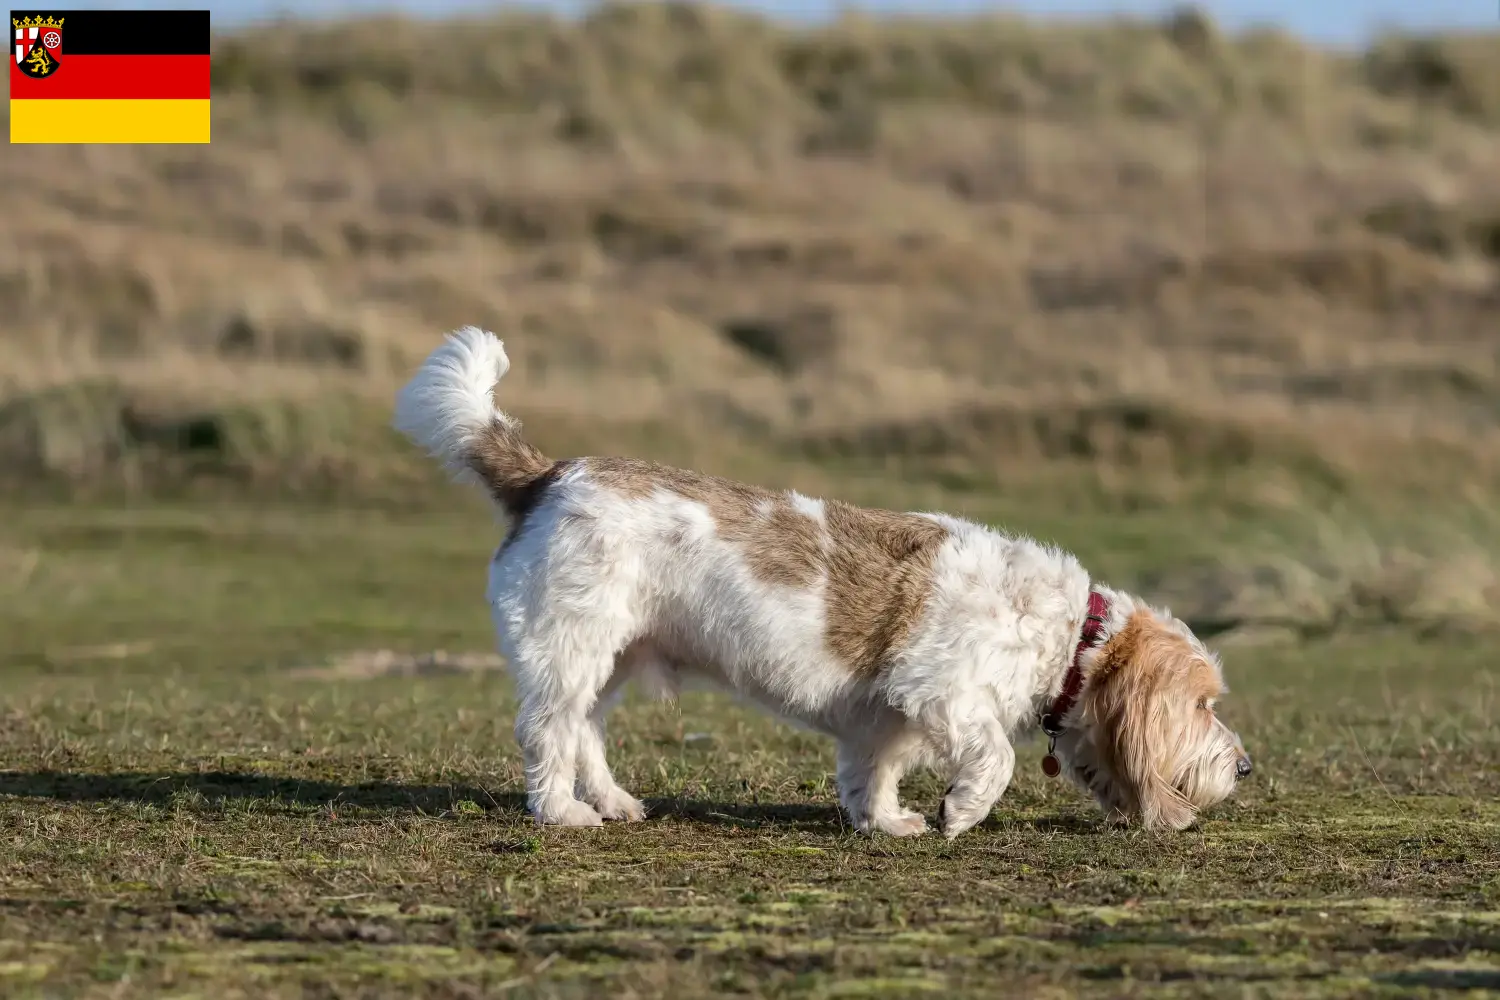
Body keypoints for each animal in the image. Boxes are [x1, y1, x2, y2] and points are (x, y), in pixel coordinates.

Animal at [393, 326, 1248, 839]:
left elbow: (874, 771)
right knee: (548, 733)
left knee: (585, 734)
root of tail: (548, 474)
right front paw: (960, 811)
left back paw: (611, 800)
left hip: (610, 661)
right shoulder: (946, 693)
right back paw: (562, 811)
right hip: (569, 654)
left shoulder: (887, 717)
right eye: (1203, 704)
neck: (1070, 636)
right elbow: (994, 759)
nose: (1243, 767)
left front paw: (887, 821)